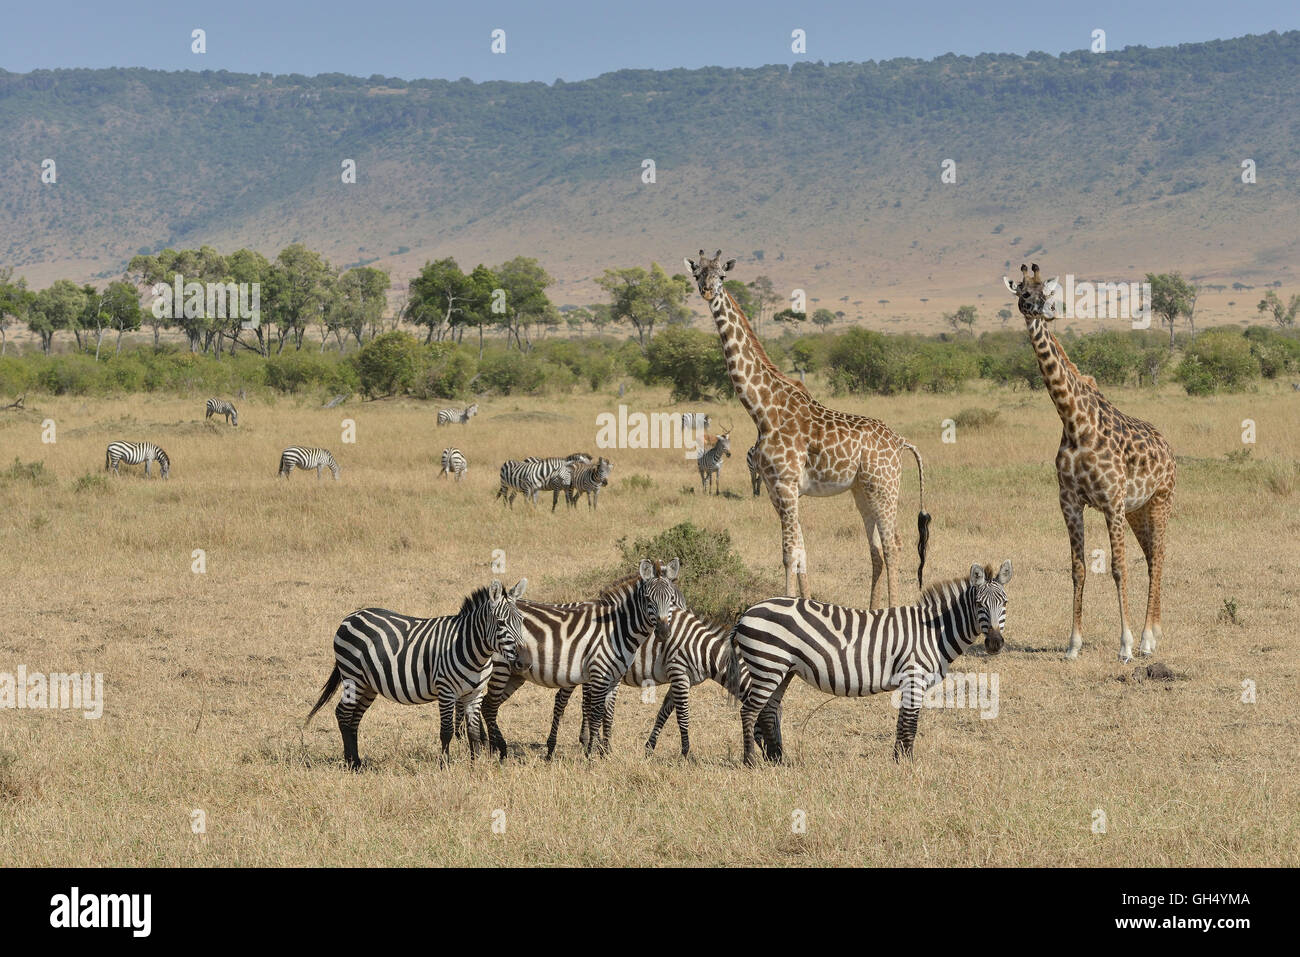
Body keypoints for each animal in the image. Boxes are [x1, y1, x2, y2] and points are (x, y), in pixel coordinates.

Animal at [305, 574, 527, 769]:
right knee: (343, 713)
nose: (524, 662)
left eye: (522, 621)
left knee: (354, 719)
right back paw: (351, 764)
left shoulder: (475, 693)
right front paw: (444, 767)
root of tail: (351, 616)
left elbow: (473, 733)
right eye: (501, 623)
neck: (474, 651)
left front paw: (475, 766)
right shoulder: (446, 691)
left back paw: (357, 762)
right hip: (353, 677)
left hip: (368, 685)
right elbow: (446, 731)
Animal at [483, 556, 686, 759]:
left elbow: (608, 713)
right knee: (490, 705)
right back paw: (495, 748)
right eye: (648, 599)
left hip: (516, 674)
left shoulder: (614, 678)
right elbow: (593, 711)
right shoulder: (597, 674)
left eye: (671, 599)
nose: (664, 633)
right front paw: (590, 752)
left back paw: (493, 745)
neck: (616, 629)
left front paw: (605, 752)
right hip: (501, 668)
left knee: (487, 704)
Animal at [686, 250, 930, 600]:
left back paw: (892, 609)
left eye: (722, 276)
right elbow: (801, 552)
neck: (762, 410)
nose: (707, 291)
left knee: (892, 545)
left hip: (885, 487)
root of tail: (900, 441)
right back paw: (871, 610)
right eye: (697, 274)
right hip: (862, 490)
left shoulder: (786, 485)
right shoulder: (775, 488)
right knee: (876, 549)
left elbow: (789, 553)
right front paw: (803, 603)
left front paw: (784, 608)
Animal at [728, 556, 1008, 764]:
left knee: (767, 711)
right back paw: (750, 760)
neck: (933, 631)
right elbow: (910, 723)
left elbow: (902, 723)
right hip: (768, 665)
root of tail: (746, 613)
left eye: (1004, 602)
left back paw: (777, 759)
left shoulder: (909, 681)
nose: (994, 643)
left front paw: (898, 760)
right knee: (749, 711)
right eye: (979, 604)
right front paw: (907, 764)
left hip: (781, 669)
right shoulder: (914, 677)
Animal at [1003, 265, 1180, 660]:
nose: (1046, 311)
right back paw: (1154, 633)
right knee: (1151, 557)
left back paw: (1146, 641)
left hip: (1161, 499)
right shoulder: (1070, 502)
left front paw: (1125, 645)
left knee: (1160, 556)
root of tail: (1167, 445)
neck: (1074, 421)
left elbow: (1117, 568)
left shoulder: (1112, 502)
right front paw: (1073, 645)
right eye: (1023, 293)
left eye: (1048, 292)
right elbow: (1078, 569)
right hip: (1137, 509)